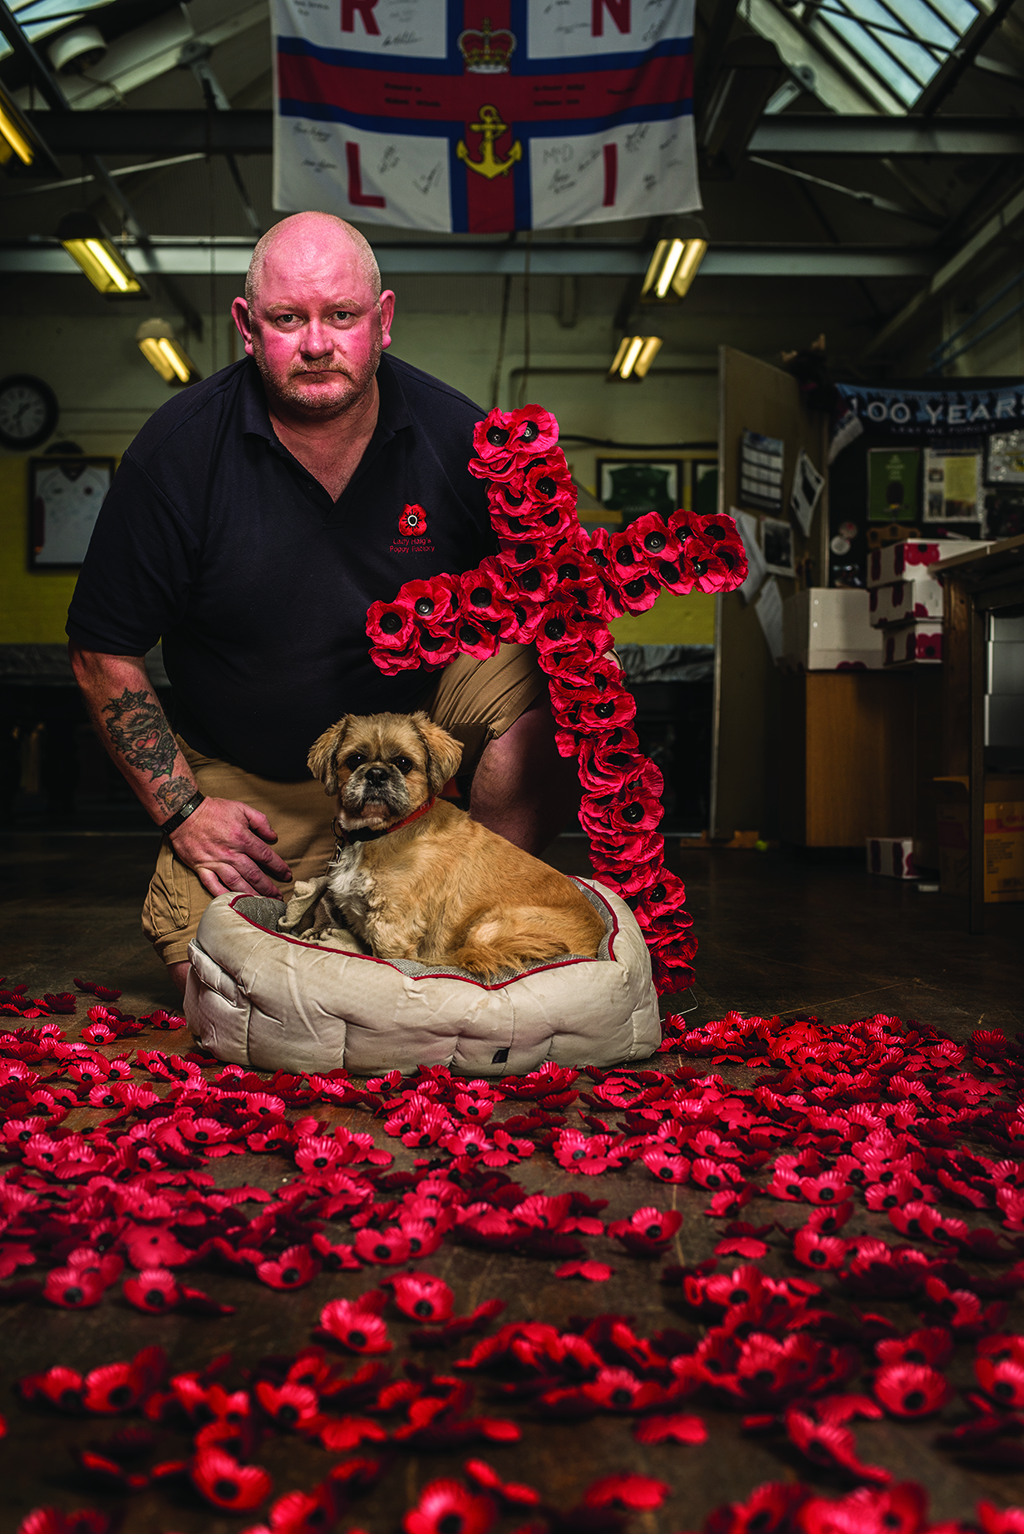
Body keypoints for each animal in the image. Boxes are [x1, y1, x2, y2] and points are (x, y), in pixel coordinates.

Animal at [288, 708, 603, 975]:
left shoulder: (393, 928)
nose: (376, 773)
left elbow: (387, 958)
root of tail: (594, 946)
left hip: (488, 925)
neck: (384, 831)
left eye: (404, 763)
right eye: (354, 760)